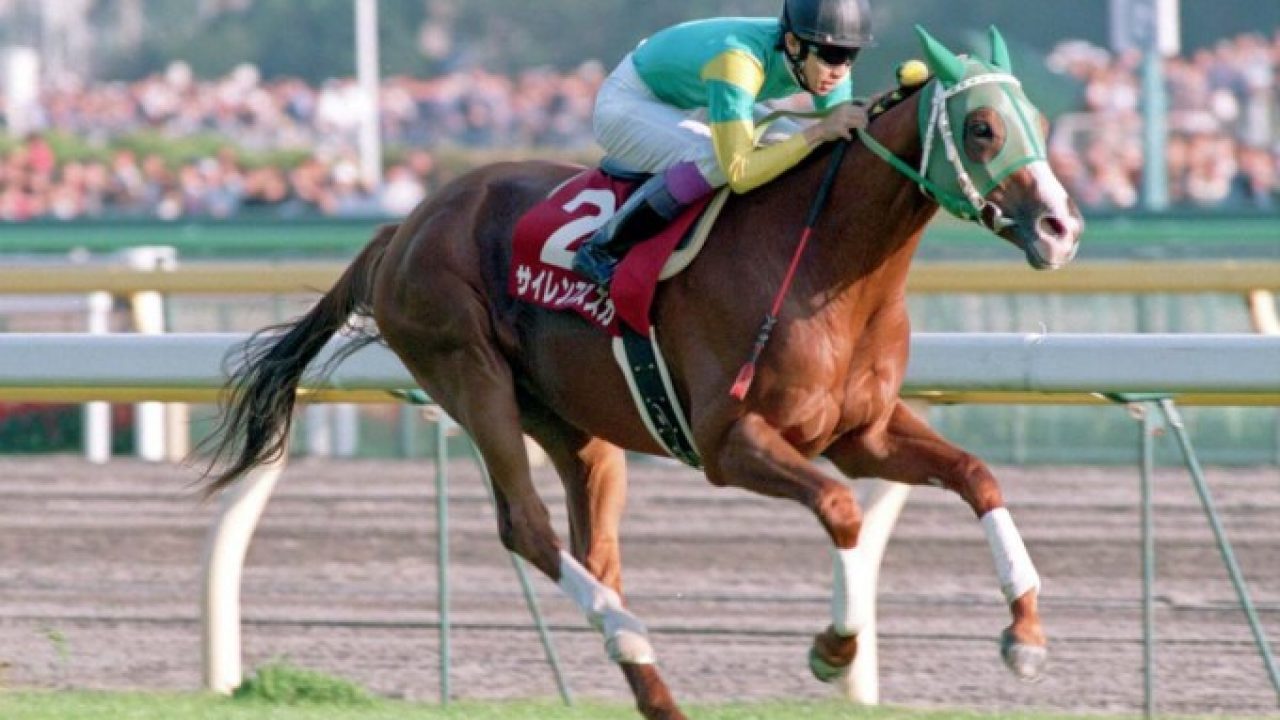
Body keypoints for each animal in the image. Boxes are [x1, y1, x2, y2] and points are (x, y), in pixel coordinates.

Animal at [204, 26, 1082, 720]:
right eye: (979, 127)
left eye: (1035, 121)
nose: (1060, 227)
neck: (828, 264)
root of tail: (406, 223)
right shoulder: (729, 443)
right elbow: (841, 511)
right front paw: (833, 648)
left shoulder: (860, 432)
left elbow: (975, 475)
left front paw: (1026, 635)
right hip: (469, 373)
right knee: (526, 527)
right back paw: (629, 635)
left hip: (572, 423)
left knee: (595, 549)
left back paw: (654, 688)